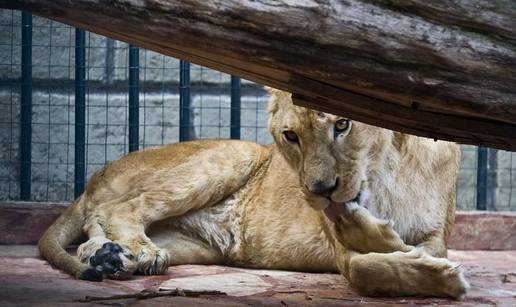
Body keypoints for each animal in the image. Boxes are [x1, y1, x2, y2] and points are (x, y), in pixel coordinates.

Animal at [38, 88, 470, 298]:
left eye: (343, 124)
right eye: (291, 136)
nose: (320, 191)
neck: (385, 169)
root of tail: (98, 173)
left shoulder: (436, 234)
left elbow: (408, 251)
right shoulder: (340, 251)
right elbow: (365, 268)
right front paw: (441, 277)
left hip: (196, 244)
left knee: (96, 227)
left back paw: (110, 257)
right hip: (233, 156)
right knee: (120, 208)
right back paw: (134, 253)